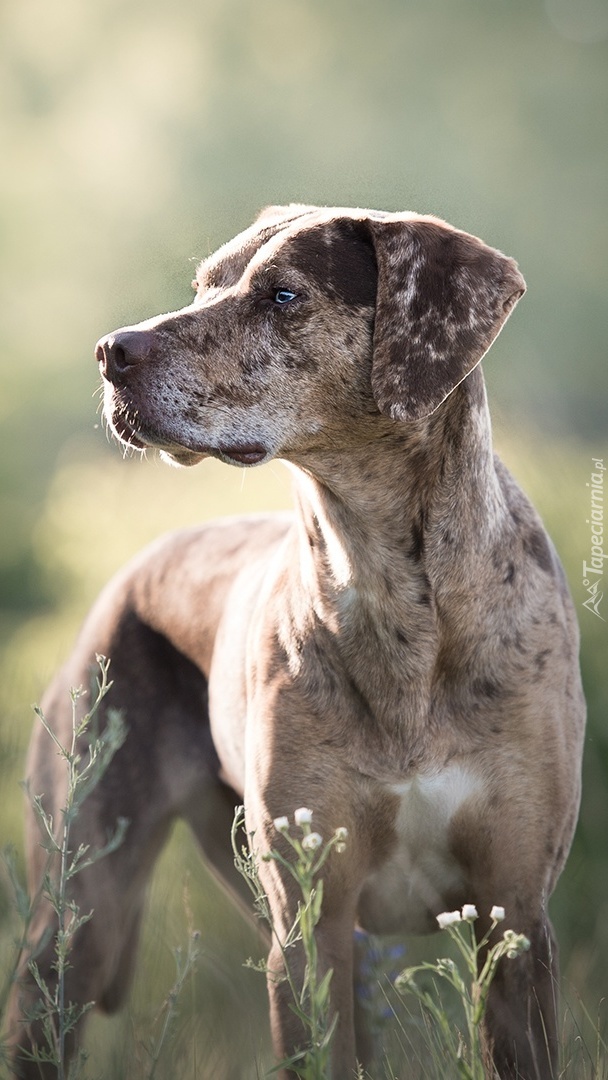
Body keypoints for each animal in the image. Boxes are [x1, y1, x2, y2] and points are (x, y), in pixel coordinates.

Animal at [5, 206, 583, 1075]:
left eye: (283, 295)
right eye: (204, 284)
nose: (111, 352)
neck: (393, 590)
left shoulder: (514, 919)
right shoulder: (310, 935)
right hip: (78, 920)